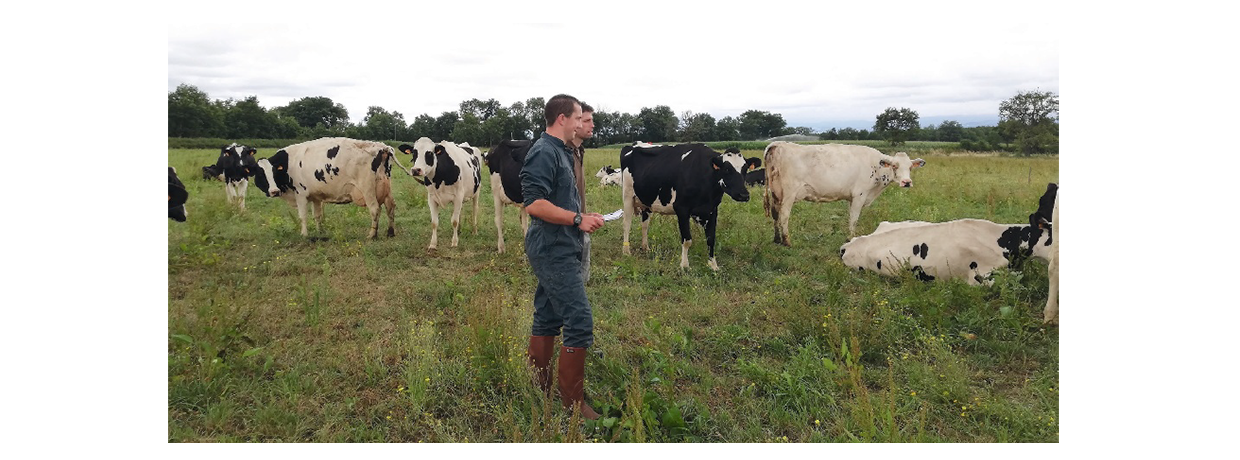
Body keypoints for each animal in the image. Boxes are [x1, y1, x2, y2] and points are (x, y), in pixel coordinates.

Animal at [248, 137, 391, 238]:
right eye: (260, 174)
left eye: (274, 172)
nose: (274, 191)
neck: (289, 163)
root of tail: (382, 146)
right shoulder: (316, 197)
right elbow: (317, 216)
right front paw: (320, 232)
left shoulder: (300, 194)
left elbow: (303, 216)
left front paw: (304, 235)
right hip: (387, 189)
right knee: (390, 207)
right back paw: (391, 232)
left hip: (367, 190)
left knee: (375, 209)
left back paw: (372, 235)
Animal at [758, 141, 927, 245]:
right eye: (894, 166)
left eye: (910, 167)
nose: (906, 182)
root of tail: (779, 144)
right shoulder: (860, 195)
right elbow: (854, 219)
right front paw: (850, 238)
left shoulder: (851, 198)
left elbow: (850, 217)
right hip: (789, 193)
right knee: (784, 215)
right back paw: (787, 241)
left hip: (775, 192)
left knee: (775, 214)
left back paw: (777, 239)